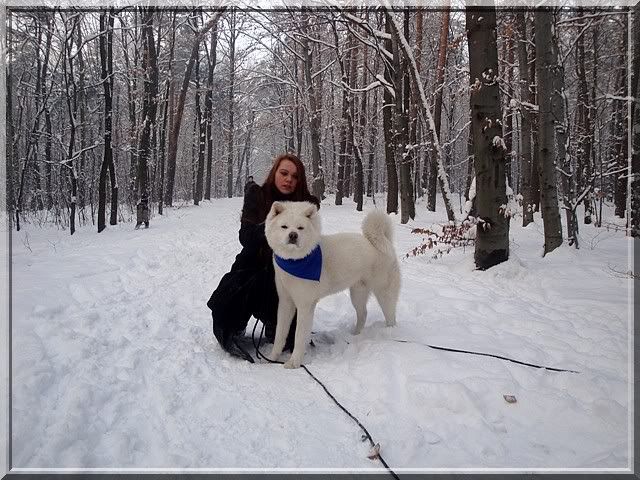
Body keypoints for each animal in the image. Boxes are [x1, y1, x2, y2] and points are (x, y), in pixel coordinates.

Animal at [264, 201, 401, 369]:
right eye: (284, 227)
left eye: (300, 228)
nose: (293, 235)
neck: (295, 261)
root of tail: (381, 241)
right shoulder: (285, 303)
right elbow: (280, 334)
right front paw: (272, 357)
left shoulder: (305, 306)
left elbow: (299, 336)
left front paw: (294, 362)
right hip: (357, 294)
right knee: (363, 314)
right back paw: (355, 336)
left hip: (384, 293)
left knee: (390, 316)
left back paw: (390, 334)